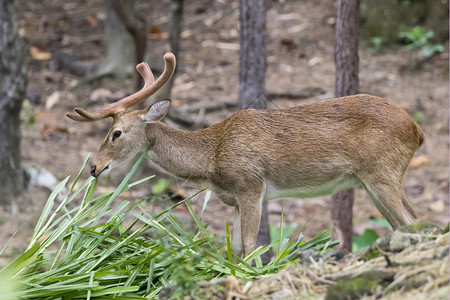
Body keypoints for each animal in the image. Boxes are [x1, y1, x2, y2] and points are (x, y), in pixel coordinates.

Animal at [66, 52, 422, 256]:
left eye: (116, 133)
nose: (94, 167)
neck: (212, 159)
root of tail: (417, 131)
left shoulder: (251, 185)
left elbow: (251, 246)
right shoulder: (235, 199)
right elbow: (236, 247)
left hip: (382, 172)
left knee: (409, 222)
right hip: (376, 179)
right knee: (410, 221)